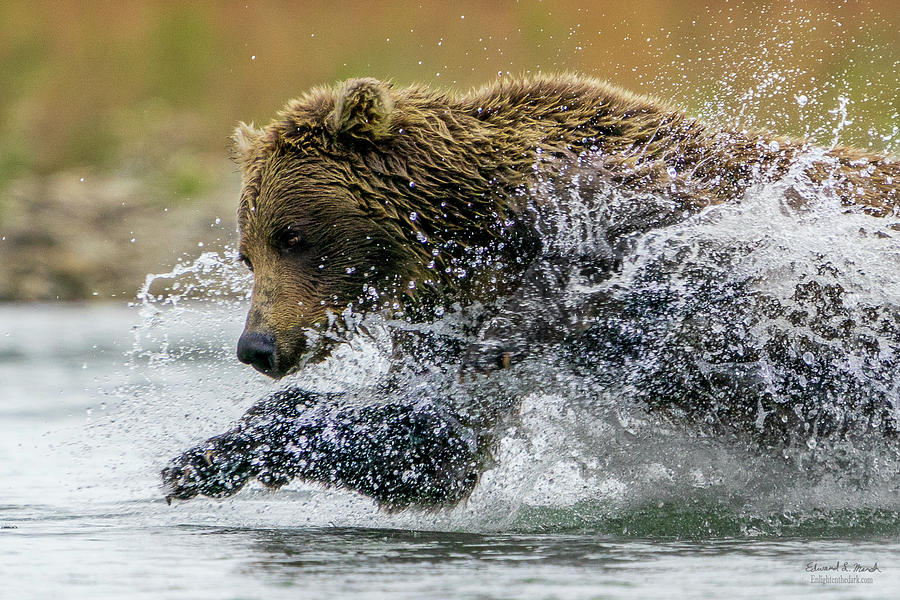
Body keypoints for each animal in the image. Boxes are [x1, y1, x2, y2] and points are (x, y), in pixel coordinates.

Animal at [163, 74, 900, 506]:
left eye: (293, 236)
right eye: (246, 254)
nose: (257, 346)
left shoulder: (599, 273)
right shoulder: (453, 316)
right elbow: (432, 443)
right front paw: (205, 456)